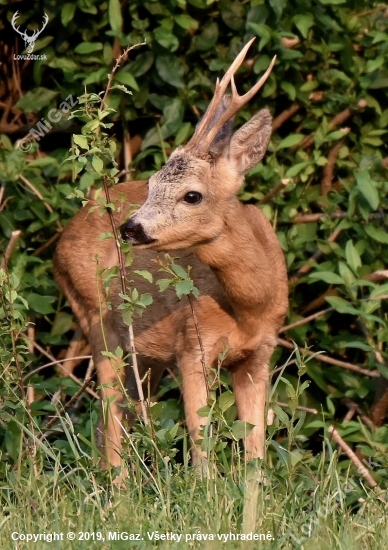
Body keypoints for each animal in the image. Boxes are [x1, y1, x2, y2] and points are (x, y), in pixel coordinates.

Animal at [56, 40, 290, 470]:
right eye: (150, 184)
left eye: (192, 195)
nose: (130, 228)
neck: (248, 308)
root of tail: (63, 238)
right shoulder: (192, 347)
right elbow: (202, 449)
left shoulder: (260, 354)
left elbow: (256, 454)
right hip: (98, 322)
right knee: (110, 424)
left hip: (144, 355)